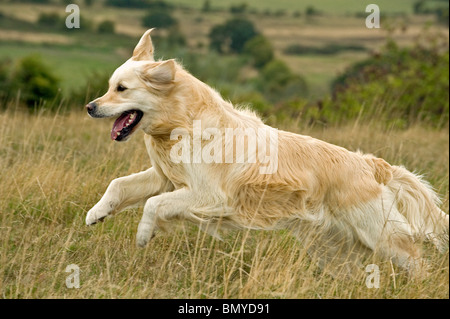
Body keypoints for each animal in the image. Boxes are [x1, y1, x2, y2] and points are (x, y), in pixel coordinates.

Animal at [86, 29, 448, 278]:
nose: (90, 107)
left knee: (418, 261)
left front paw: (144, 235)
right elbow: (120, 185)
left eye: (121, 89)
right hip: (334, 248)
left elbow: (152, 204)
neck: (181, 124)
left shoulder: (209, 195)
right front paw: (97, 213)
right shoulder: (166, 178)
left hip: (381, 235)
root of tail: (371, 164)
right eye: (109, 87)